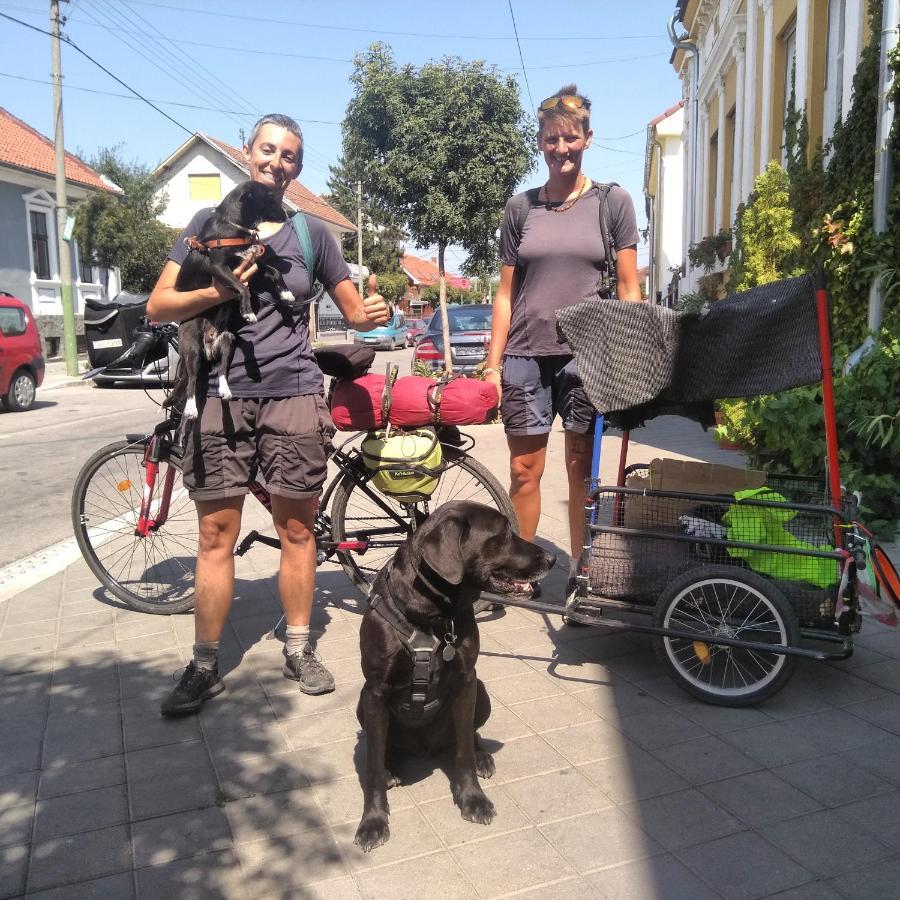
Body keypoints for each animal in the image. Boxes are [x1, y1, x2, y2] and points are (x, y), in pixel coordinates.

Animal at [167, 181, 294, 424]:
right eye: (270, 197)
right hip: (192, 348)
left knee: (222, 369)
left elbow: (274, 271)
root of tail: (207, 348)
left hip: (227, 339)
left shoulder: (251, 263)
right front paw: (248, 312)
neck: (235, 226)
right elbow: (242, 287)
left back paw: (225, 390)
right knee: (192, 380)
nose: (289, 214)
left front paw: (285, 293)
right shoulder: (219, 268)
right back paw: (191, 409)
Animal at [356, 502, 556, 856]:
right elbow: (372, 767)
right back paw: (392, 766)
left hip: (482, 692)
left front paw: (473, 799)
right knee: (384, 747)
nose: (552, 558)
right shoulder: (374, 692)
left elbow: (463, 748)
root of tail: (425, 748)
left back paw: (482, 757)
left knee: (469, 734)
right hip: (361, 705)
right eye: (502, 533)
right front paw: (373, 822)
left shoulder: (466, 680)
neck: (431, 615)